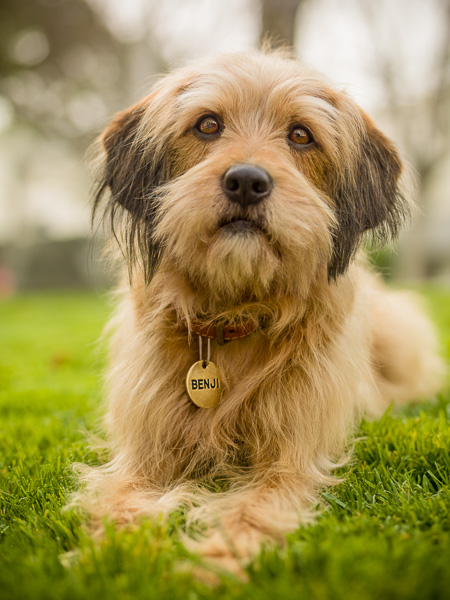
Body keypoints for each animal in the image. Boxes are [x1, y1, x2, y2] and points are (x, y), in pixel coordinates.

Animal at [76, 48, 442, 576]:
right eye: (207, 125)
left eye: (301, 134)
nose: (247, 181)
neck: (234, 317)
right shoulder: (143, 453)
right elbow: (119, 499)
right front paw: (115, 555)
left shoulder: (291, 460)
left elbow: (253, 507)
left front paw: (213, 563)